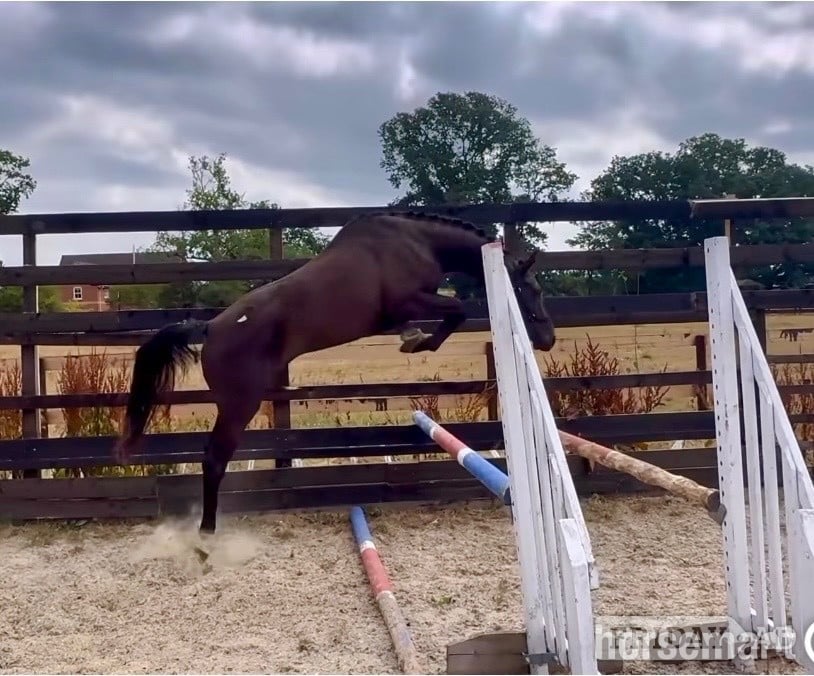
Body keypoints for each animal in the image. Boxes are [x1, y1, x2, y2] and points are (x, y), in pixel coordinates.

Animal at [112, 211, 556, 535]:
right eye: (530, 289)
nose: (548, 339)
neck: (416, 242)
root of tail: (210, 328)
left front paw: (411, 338)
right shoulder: (408, 301)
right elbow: (456, 312)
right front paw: (417, 341)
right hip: (239, 405)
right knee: (213, 460)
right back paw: (206, 535)